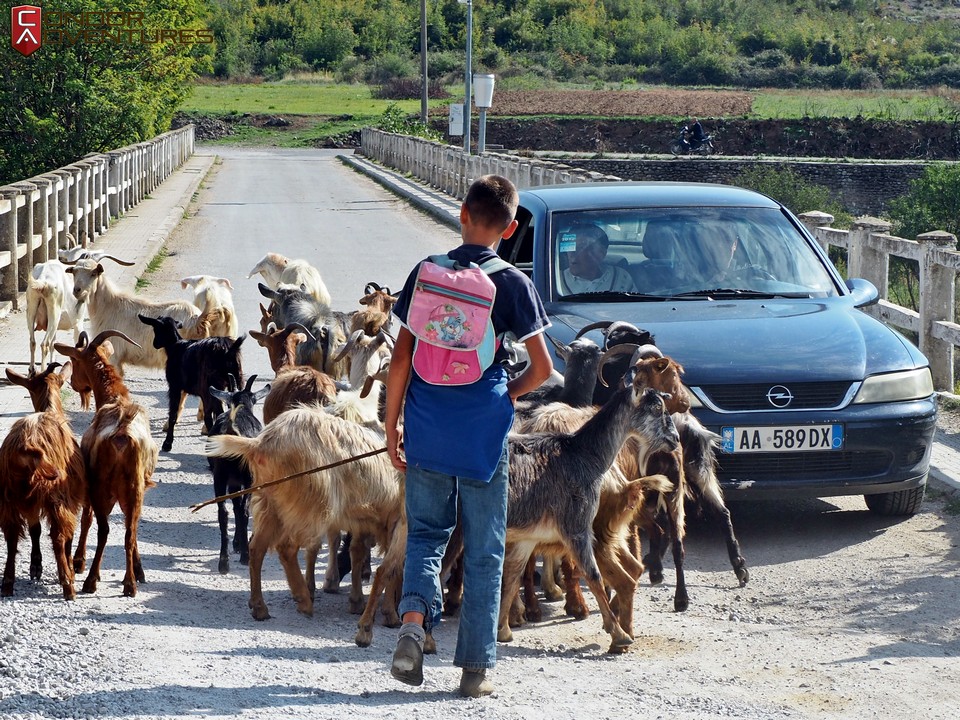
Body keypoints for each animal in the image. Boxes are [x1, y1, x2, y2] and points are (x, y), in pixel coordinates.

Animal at [0, 362, 86, 600]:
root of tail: (28, 446)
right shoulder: (70, 499)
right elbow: (66, 534)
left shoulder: (30, 502)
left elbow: (34, 529)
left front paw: (35, 567)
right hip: (56, 495)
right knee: (58, 535)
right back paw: (68, 584)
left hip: (8, 496)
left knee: (11, 535)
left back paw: (7, 584)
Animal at [54, 332, 159, 596]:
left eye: (76, 361)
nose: (74, 384)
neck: (114, 398)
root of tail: (122, 433)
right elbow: (132, 529)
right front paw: (139, 571)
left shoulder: (89, 483)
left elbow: (86, 518)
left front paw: (79, 561)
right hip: (134, 489)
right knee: (129, 532)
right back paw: (130, 583)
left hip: (103, 489)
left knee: (104, 530)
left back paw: (91, 579)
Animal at [137, 314, 246, 450]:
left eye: (156, 328)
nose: (155, 344)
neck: (175, 346)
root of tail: (228, 349)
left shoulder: (175, 386)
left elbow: (173, 414)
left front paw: (167, 443)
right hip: (236, 380)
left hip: (211, 386)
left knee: (216, 415)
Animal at [207, 376, 270, 572]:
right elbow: (240, 509)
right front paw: (239, 545)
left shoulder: (233, 482)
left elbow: (234, 507)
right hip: (249, 478)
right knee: (243, 510)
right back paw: (245, 555)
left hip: (219, 476)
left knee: (224, 512)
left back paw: (223, 563)